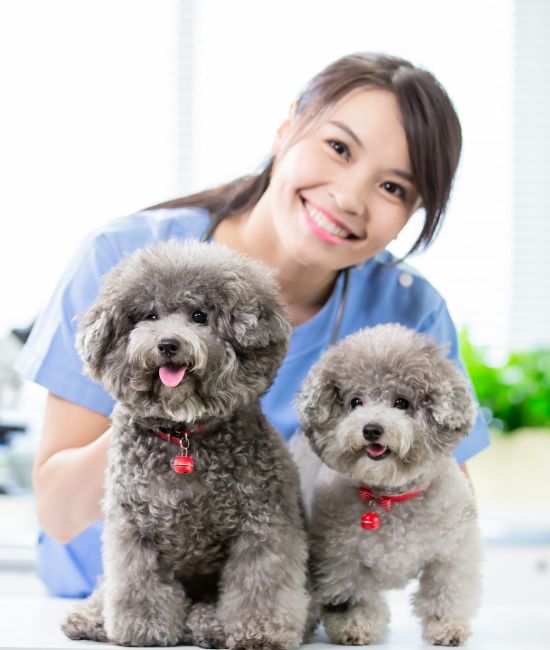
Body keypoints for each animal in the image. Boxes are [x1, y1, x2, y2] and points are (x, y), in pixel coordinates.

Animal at [61, 238, 310, 644]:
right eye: (149, 316)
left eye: (199, 316)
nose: (167, 344)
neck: (183, 437)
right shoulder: (134, 529)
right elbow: (136, 584)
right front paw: (142, 628)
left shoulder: (263, 526)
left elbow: (261, 586)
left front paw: (260, 631)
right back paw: (90, 618)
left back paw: (208, 625)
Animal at [298, 322, 484, 644]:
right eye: (355, 402)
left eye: (401, 403)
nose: (371, 429)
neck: (389, 498)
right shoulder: (341, 558)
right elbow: (353, 596)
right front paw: (355, 626)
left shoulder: (452, 551)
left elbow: (446, 589)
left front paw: (446, 627)